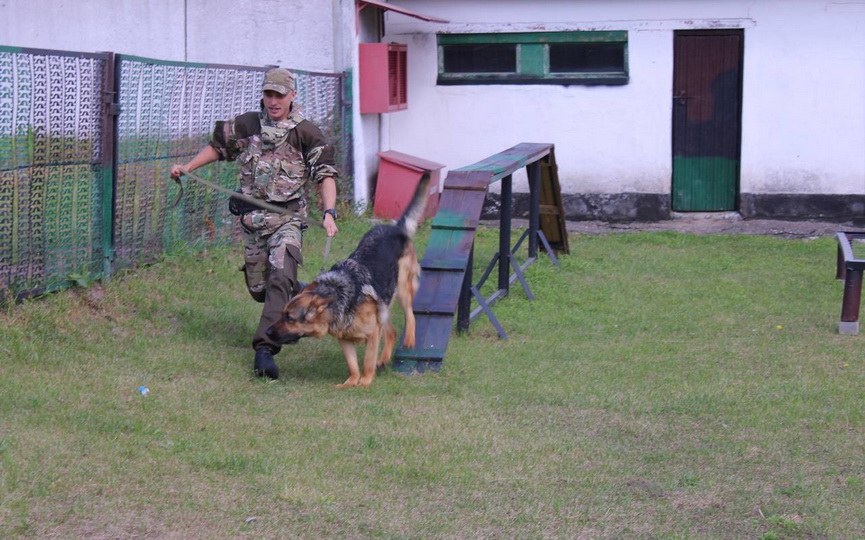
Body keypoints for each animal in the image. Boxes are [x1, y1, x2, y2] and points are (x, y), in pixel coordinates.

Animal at [262, 175, 426, 386]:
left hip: (402, 289)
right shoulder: (345, 339)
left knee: (410, 314)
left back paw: (409, 340)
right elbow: (352, 364)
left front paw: (364, 382)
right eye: (282, 314)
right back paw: (383, 359)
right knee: (391, 331)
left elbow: (367, 361)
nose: (267, 333)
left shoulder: (372, 334)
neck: (338, 298)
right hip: (383, 307)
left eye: (289, 318)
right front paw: (350, 383)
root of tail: (395, 228)